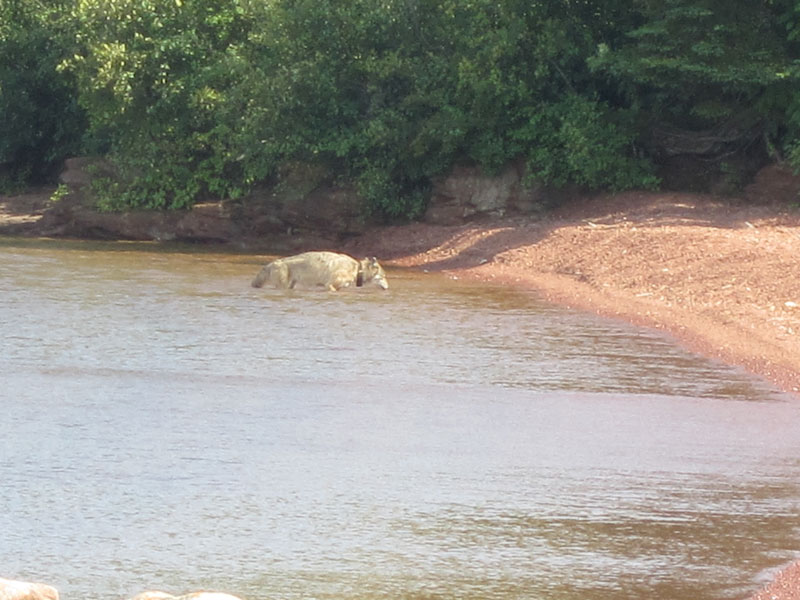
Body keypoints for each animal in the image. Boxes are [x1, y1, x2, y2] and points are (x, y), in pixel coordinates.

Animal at [251, 251, 389, 291]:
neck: (357, 269)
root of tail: (271, 263)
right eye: (384, 276)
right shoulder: (330, 286)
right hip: (283, 286)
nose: (388, 287)